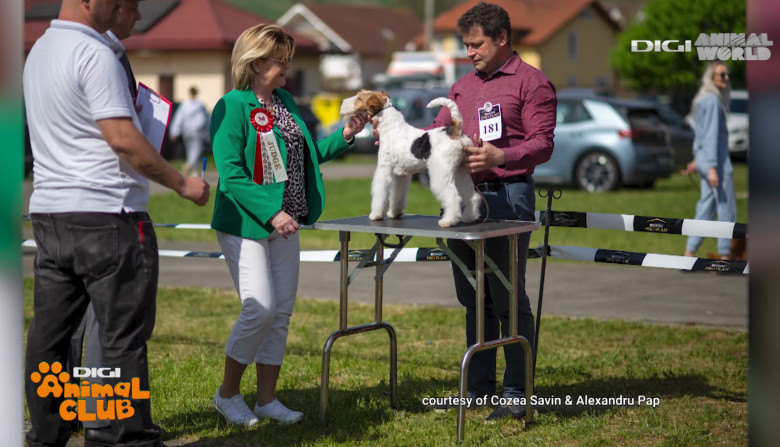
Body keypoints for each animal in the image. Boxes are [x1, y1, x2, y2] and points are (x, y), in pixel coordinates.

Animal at [342, 89, 482, 228]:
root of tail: (455, 129)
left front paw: (376, 215)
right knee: (472, 196)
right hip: (461, 170)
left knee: (453, 197)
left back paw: (448, 221)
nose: (342, 103)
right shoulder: (400, 175)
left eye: (360, 98)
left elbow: (380, 194)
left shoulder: (384, 169)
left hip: (442, 172)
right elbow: (397, 195)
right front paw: (394, 213)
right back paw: (469, 217)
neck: (390, 128)